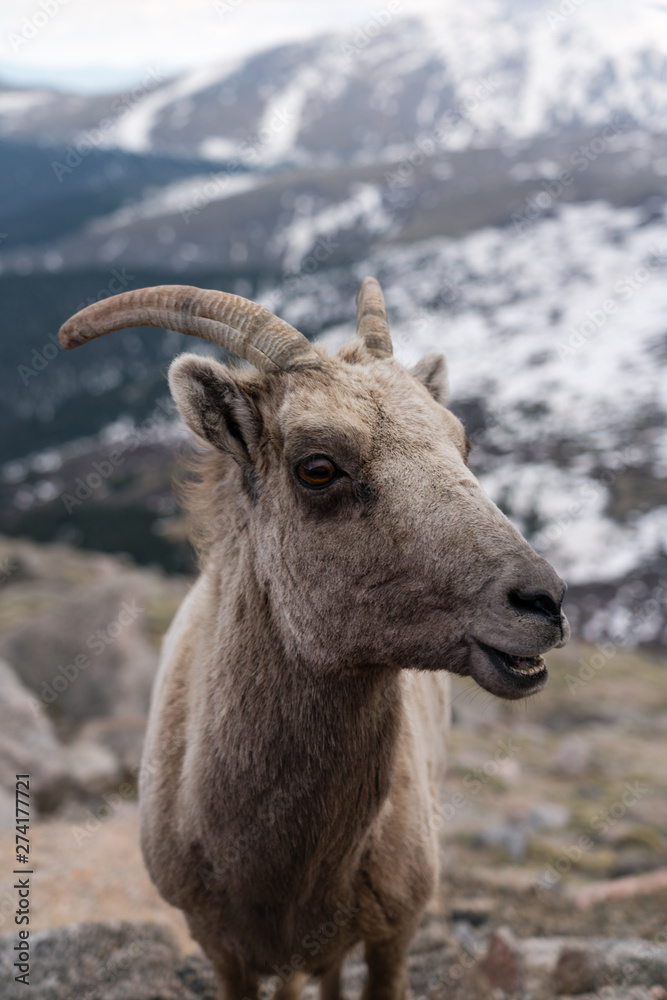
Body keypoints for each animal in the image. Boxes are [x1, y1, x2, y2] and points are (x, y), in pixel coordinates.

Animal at [59, 278, 569, 1000]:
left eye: (460, 443)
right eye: (318, 468)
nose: (543, 602)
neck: (281, 870)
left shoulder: (393, 934)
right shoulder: (219, 947)